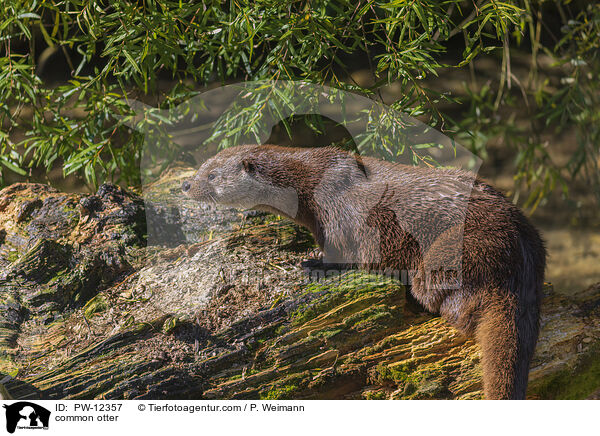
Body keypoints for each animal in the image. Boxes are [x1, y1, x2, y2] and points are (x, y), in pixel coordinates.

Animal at [182, 145, 544, 400]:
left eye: (211, 175)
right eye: (201, 166)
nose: (186, 184)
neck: (308, 180)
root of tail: (518, 260)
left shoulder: (336, 217)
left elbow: (341, 253)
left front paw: (313, 261)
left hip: (459, 249)